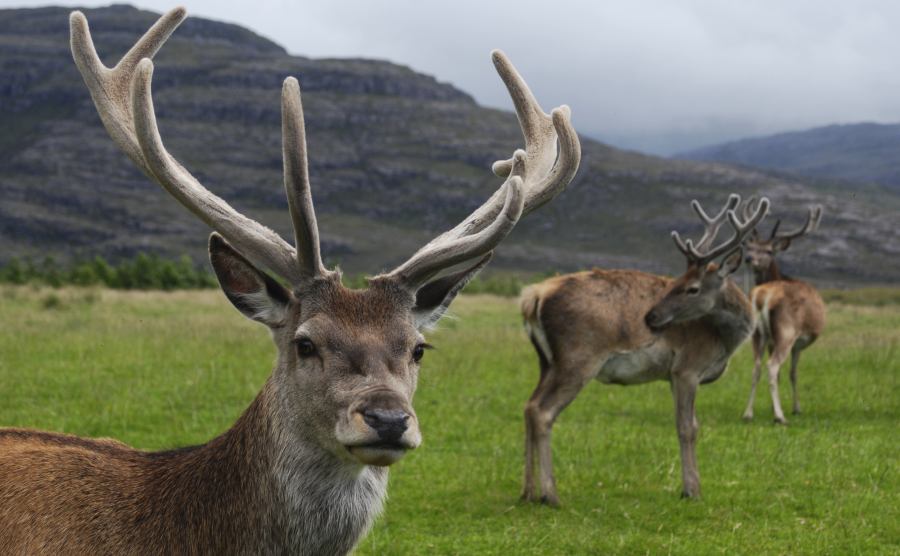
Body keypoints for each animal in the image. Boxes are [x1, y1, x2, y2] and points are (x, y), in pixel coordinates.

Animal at [520, 193, 768, 502]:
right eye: (676, 282)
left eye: (692, 287)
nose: (650, 317)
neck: (723, 340)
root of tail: (533, 297)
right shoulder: (687, 367)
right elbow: (687, 427)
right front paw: (692, 490)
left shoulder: (673, 375)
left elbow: (690, 424)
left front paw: (690, 486)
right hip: (577, 358)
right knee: (543, 412)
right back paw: (550, 494)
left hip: (546, 361)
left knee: (529, 406)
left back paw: (527, 492)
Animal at [740, 202, 828, 424]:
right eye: (750, 248)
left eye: (768, 250)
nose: (748, 258)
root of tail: (762, 295)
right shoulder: (798, 343)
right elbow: (793, 373)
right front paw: (796, 408)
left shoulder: (773, 341)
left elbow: (783, 374)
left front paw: (773, 407)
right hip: (786, 331)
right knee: (772, 366)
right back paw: (780, 417)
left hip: (758, 334)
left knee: (756, 367)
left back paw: (748, 413)